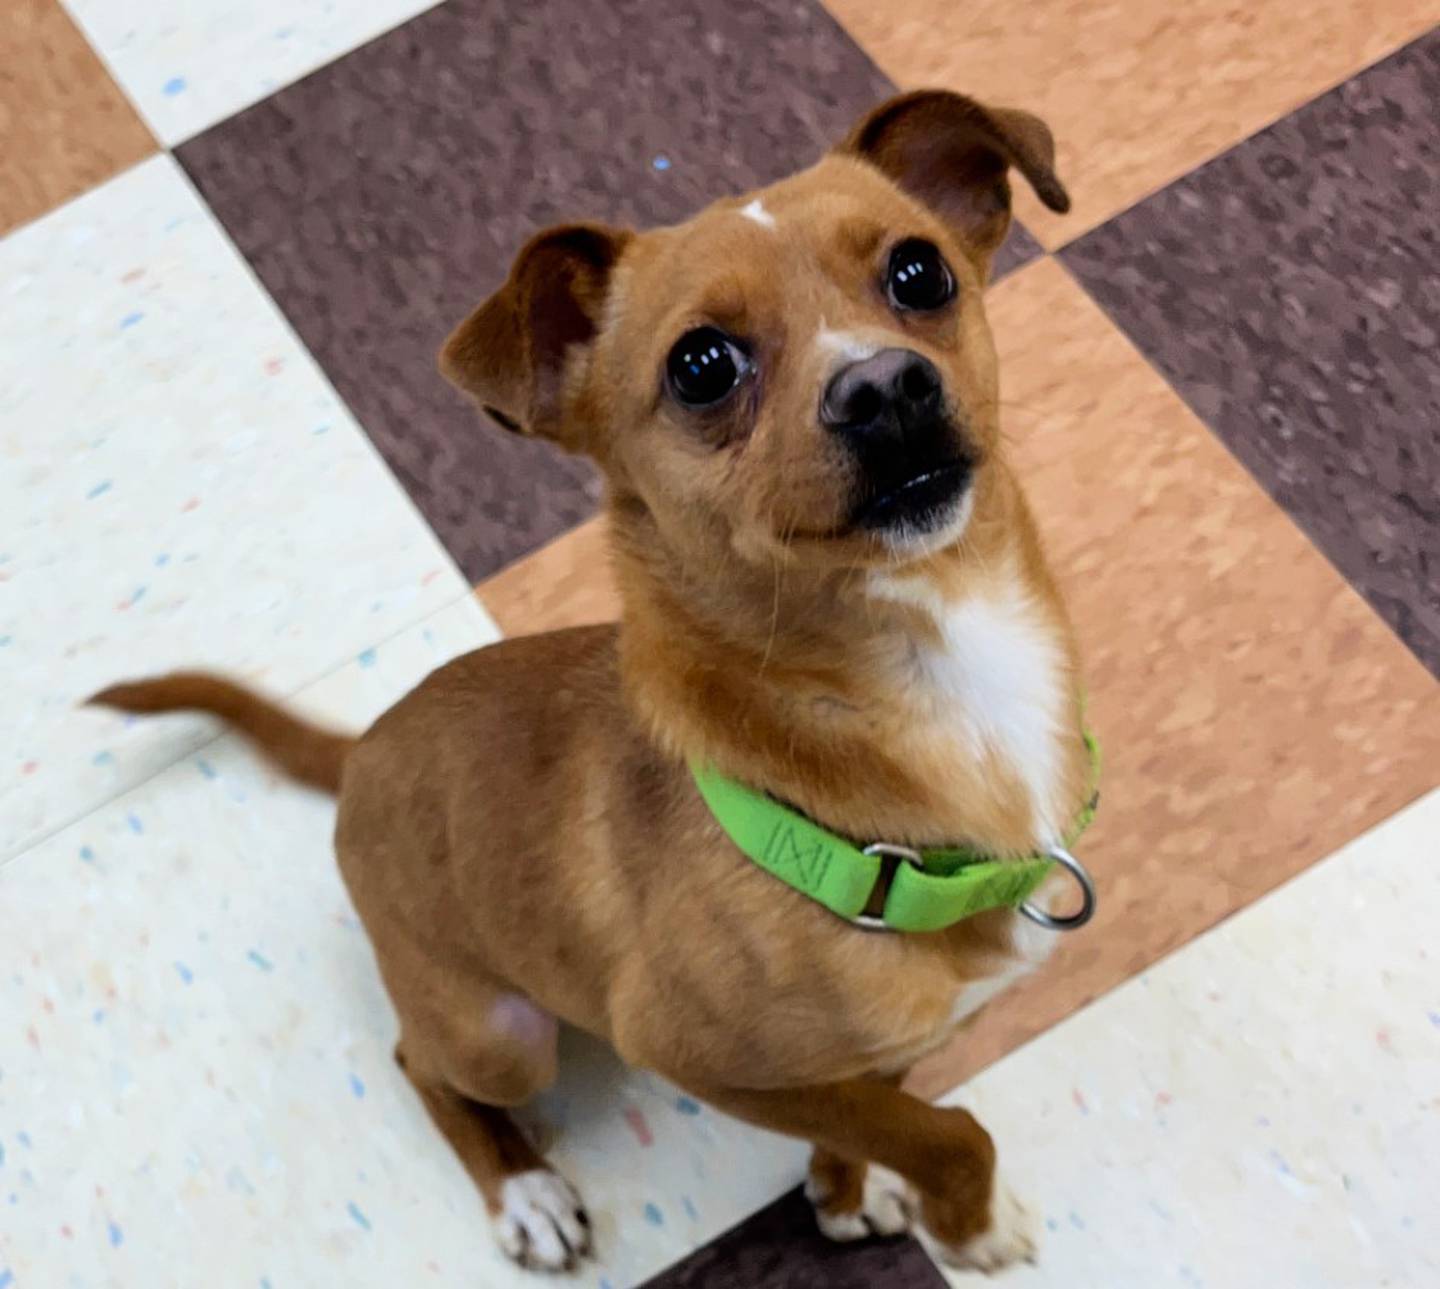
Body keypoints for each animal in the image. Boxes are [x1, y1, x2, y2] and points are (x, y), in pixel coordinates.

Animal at [95, 85, 1088, 1273]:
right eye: (701, 366)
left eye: (919, 272)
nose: (886, 383)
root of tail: (366, 740)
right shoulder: (694, 1051)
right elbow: (947, 1126)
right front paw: (972, 1222)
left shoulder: (870, 1048)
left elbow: (880, 1101)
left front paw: (846, 1191)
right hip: (500, 1033)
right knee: (419, 1063)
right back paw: (523, 1190)